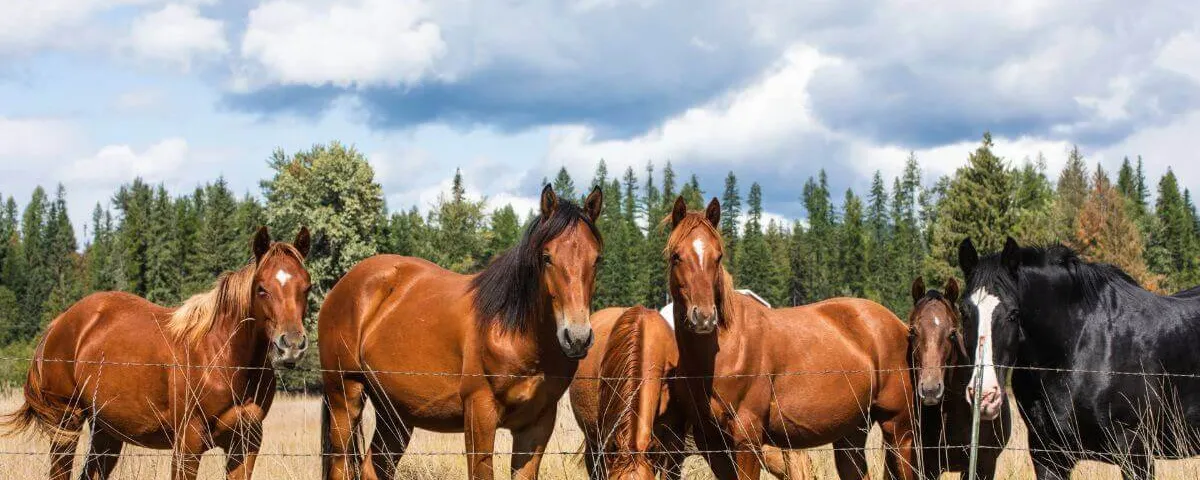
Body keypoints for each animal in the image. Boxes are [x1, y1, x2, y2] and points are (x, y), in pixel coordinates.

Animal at [1, 226, 312, 480]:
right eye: (261, 288)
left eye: (306, 287)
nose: (291, 345)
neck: (223, 357)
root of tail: (60, 323)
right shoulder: (188, 443)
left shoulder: (245, 445)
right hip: (67, 423)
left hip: (106, 433)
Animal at [319, 185, 604, 480]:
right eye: (547, 257)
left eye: (597, 259)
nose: (577, 338)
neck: (515, 332)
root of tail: (344, 285)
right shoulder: (480, 415)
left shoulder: (537, 424)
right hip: (345, 396)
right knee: (341, 465)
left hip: (395, 413)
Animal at [665, 196, 915, 480]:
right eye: (676, 256)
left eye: (718, 257)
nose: (704, 318)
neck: (725, 352)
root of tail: (898, 324)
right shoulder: (712, 445)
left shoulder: (747, 439)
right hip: (851, 434)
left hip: (898, 430)